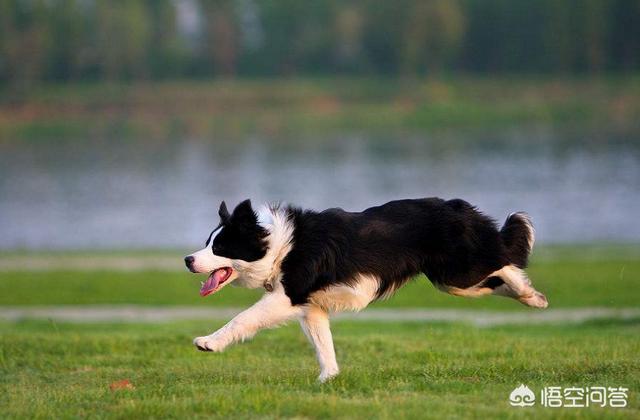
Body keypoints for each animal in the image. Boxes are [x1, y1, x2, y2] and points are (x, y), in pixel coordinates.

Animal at [182, 199, 548, 382]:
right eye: (207, 243)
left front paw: (208, 343)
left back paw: (530, 293)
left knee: (505, 258)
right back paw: (533, 298)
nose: (187, 260)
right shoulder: (312, 306)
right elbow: (323, 345)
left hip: (459, 271)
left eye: (221, 246)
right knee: (497, 275)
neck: (278, 245)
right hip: (454, 281)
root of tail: (459, 206)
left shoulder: (288, 294)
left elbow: (242, 318)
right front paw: (328, 379)